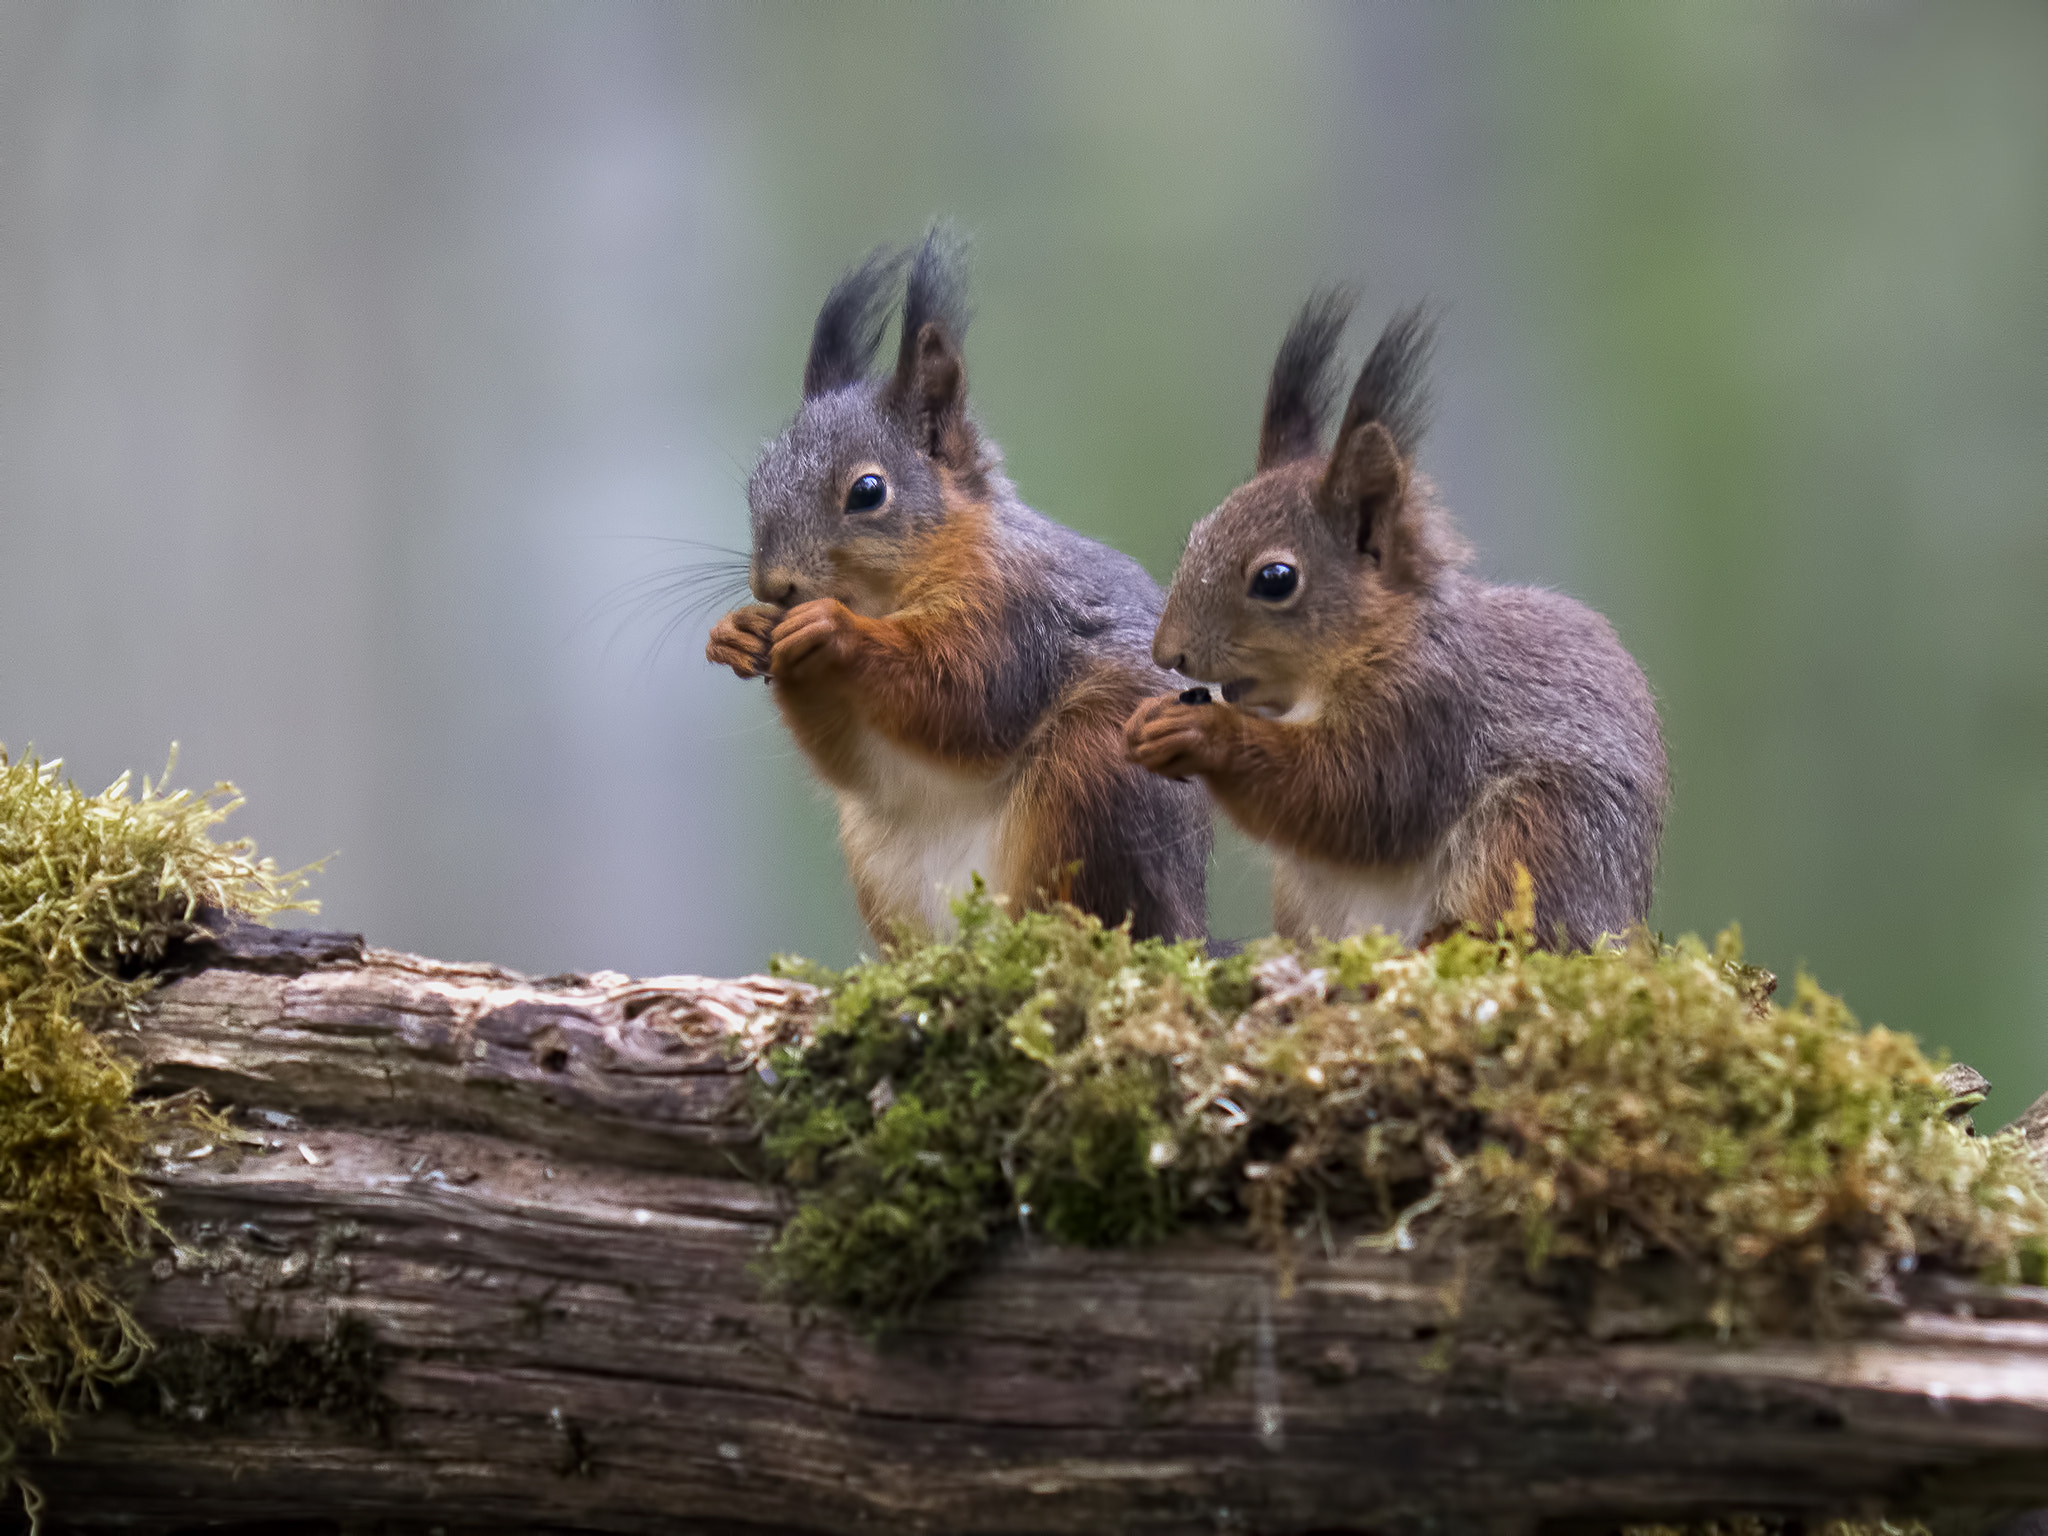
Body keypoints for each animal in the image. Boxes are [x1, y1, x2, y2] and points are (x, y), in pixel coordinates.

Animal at [708, 228, 1204, 950]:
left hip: (1095, 776)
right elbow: (852, 761)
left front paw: (832, 629)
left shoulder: (1018, 615)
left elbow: (966, 697)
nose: (773, 585)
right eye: (757, 483)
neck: (897, 595)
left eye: (868, 491)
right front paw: (738, 631)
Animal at [1122, 288, 1662, 950]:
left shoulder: (1429, 708)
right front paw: (1145, 721)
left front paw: (1203, 732)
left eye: (1275, 579)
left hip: (1538, 830)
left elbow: (1355, 796)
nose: (1165, 653)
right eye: (1197, 535)